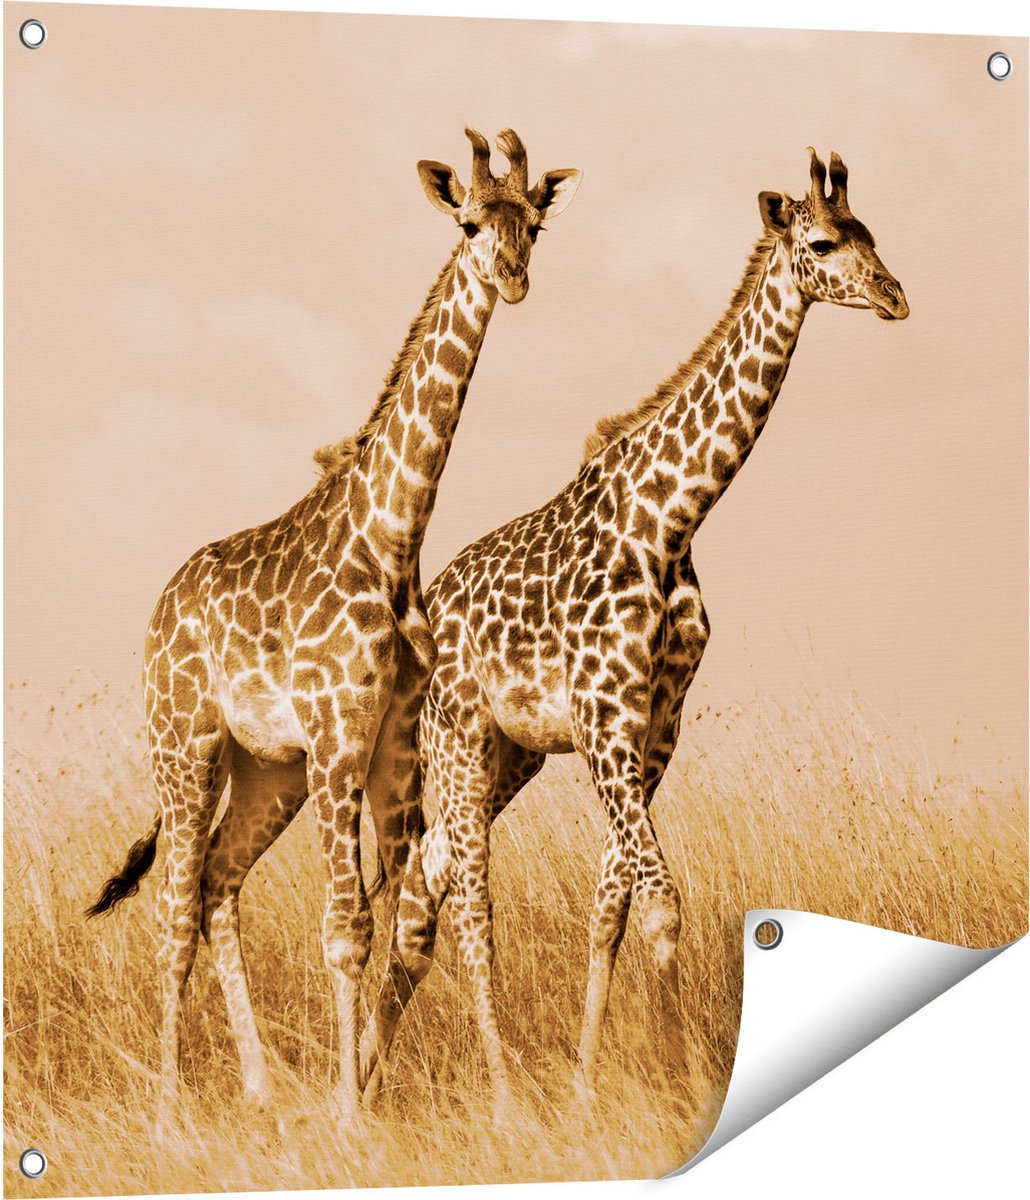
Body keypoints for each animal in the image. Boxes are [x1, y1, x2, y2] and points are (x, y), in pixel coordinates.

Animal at [86, 127, 582, 1123]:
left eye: (535, 225)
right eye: (469, 223)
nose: (512, 278)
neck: (391, 538)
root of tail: (159, 610)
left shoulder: (388, 746)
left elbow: (386, 914)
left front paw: (356, 1093)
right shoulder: (339, 735)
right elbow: (345, 926)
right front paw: (349, 1111)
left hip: (269, 769)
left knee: (217, 884)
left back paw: (258, 1085)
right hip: (185, 744)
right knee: (173, 910)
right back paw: (169, 1109)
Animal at [378, 149, 908, 1108]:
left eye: (871, 234)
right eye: (821, 242)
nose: (895, 296)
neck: (671, 519)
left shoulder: (658, 724)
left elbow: (613, 904)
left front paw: (591, 1081)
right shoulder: (605, 722)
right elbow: (662, 900)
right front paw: (688, 1078)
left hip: (510, 754)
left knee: (422, 887)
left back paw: (361, 1083)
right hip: (458, 742)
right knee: (464, 900)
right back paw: (498, 1093)